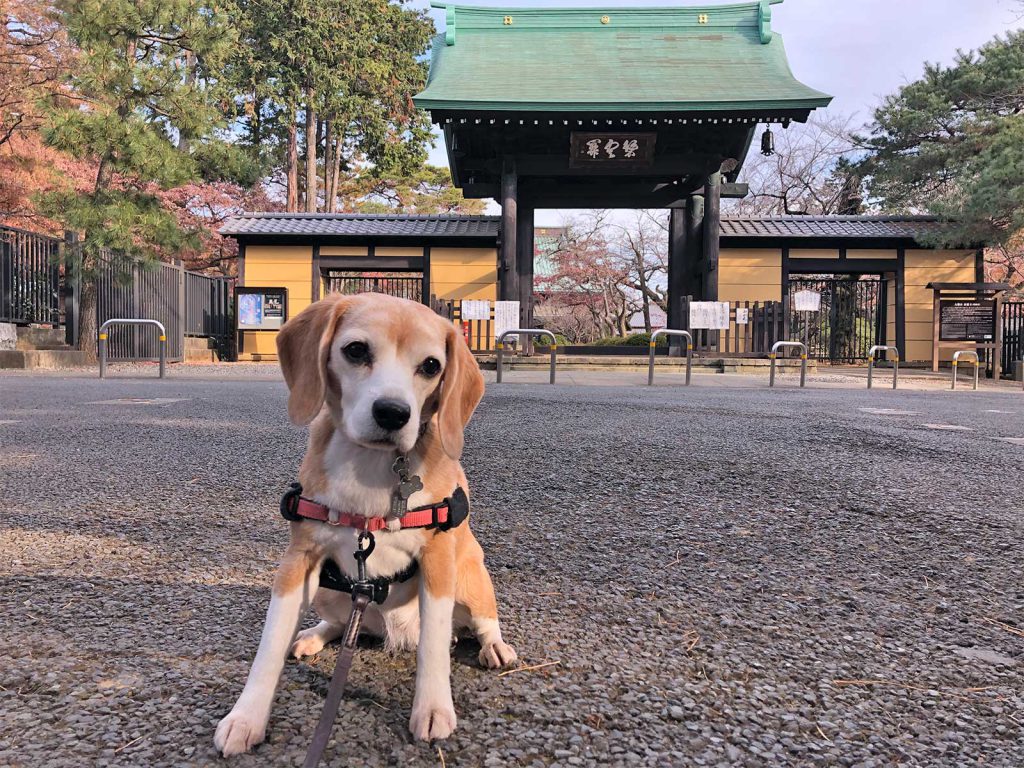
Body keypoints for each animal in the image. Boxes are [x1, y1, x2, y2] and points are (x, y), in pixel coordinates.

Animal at [217, 292, 520, 757]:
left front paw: (433, 708)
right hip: (330, 590)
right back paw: (313, 635)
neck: (370, 465)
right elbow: (268, 646)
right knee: (342, 624)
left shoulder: (438, 561)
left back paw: (495, 647)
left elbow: (434, 646)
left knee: (482, 624)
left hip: (471, 580)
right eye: (356, 350)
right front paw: (246, 717)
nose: (393, 413)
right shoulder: (297, 560)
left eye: (430, 365)